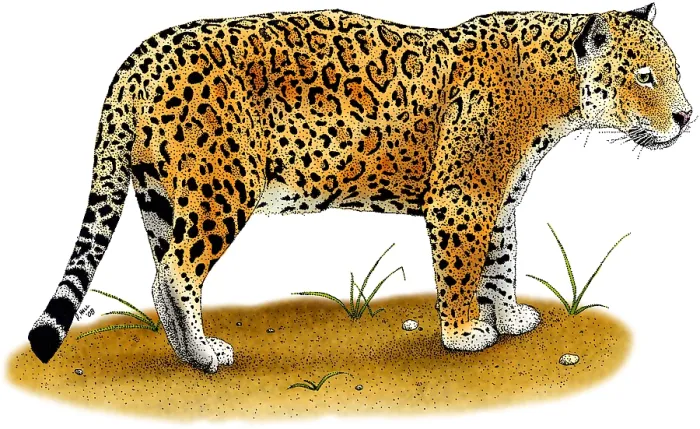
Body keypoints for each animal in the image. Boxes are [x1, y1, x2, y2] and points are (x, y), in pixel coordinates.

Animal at [28, 3, 691, 373]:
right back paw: (207, 356)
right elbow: (461, 272)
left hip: (160, 196)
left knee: (159, 273)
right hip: (220, 191)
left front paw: (508, 319)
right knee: (176, 275)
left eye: (676, 72)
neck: (556, 96)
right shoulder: (462, 199)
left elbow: (502, 263)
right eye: (645, 77)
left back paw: (184, 356)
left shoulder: (500, 199)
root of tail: (138, 58)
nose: (687, 116)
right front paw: (463, 335)